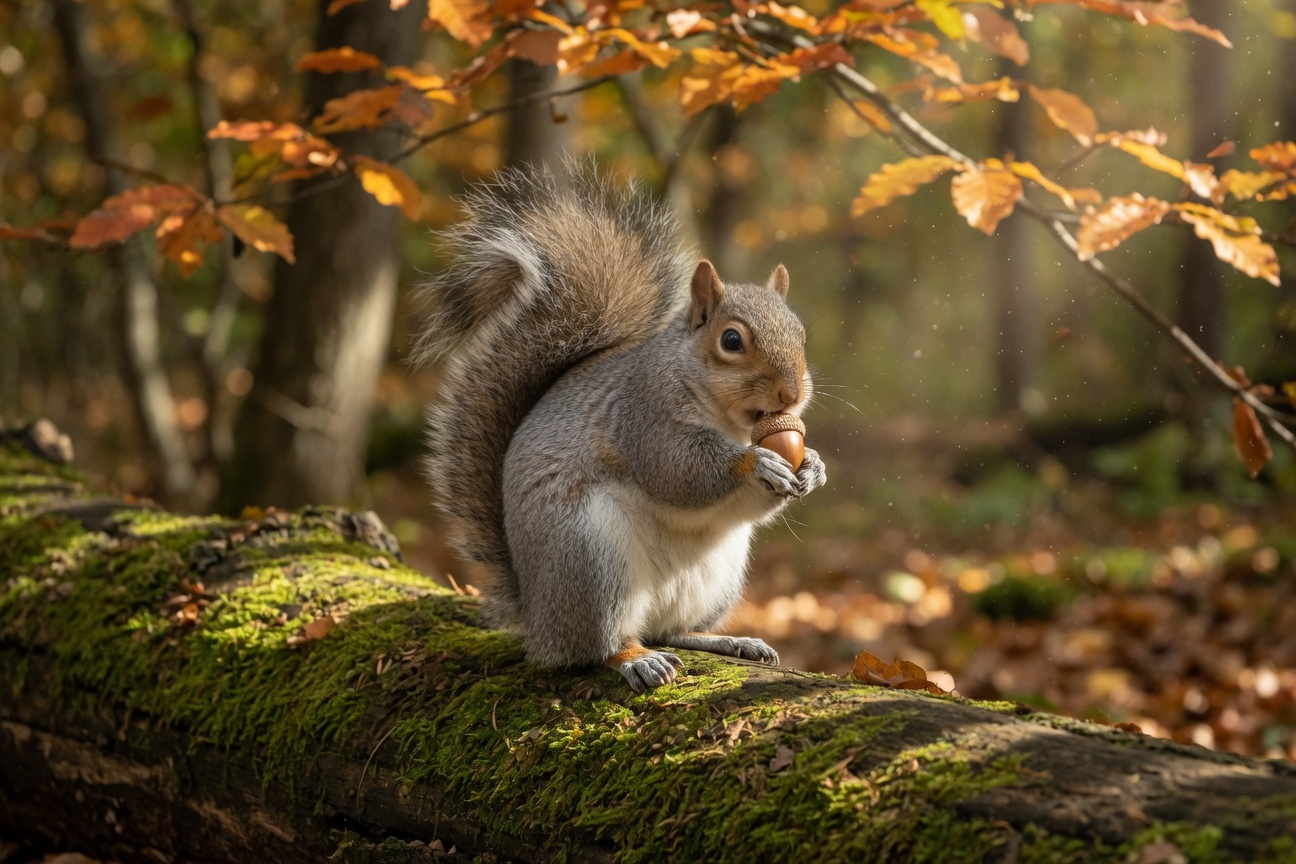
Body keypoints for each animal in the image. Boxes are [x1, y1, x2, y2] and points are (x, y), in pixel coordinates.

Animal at [415, 165, 827, 691]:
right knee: (600, 645)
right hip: (590, 559)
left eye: (801, 335)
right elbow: (677, 472)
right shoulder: (642, 416)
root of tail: (537, 620)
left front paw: (812, 466)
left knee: (672, 630)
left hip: (717, 575)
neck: (726, 420)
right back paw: (636, 659)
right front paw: (756, 462)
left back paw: (728, 640)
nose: (790, 394)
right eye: (731, 340)